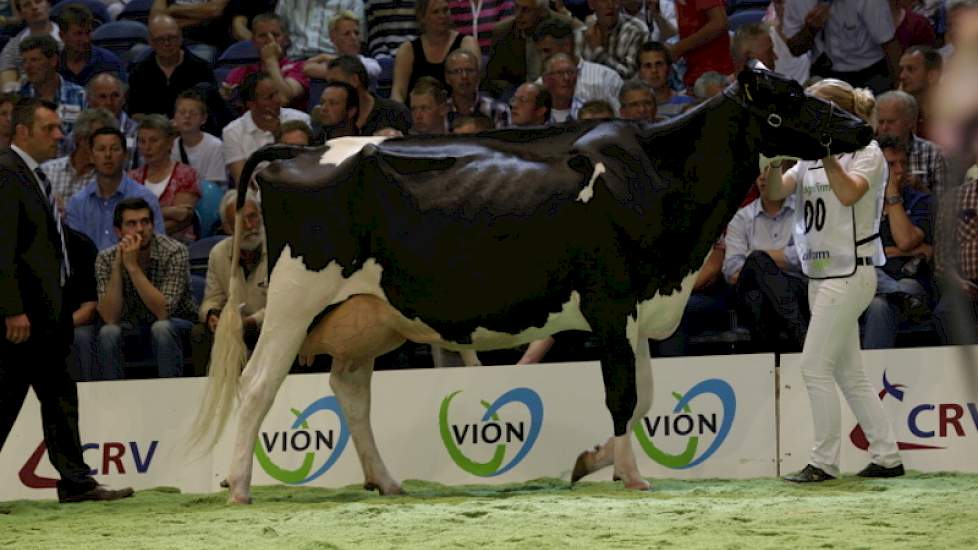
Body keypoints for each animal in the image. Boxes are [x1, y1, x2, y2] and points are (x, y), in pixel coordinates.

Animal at [191, 69, 868, 504]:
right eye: (792, 97)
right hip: (294, 298)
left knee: (350, 391)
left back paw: (386, 482)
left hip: (368, 315)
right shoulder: (609, 303)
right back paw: (240, 487)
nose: (862, 124)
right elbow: (624, 396)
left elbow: (645, 396)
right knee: (257, 384)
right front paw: (632, 477)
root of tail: (300, 150)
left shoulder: (637, 309)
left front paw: (594, 461)